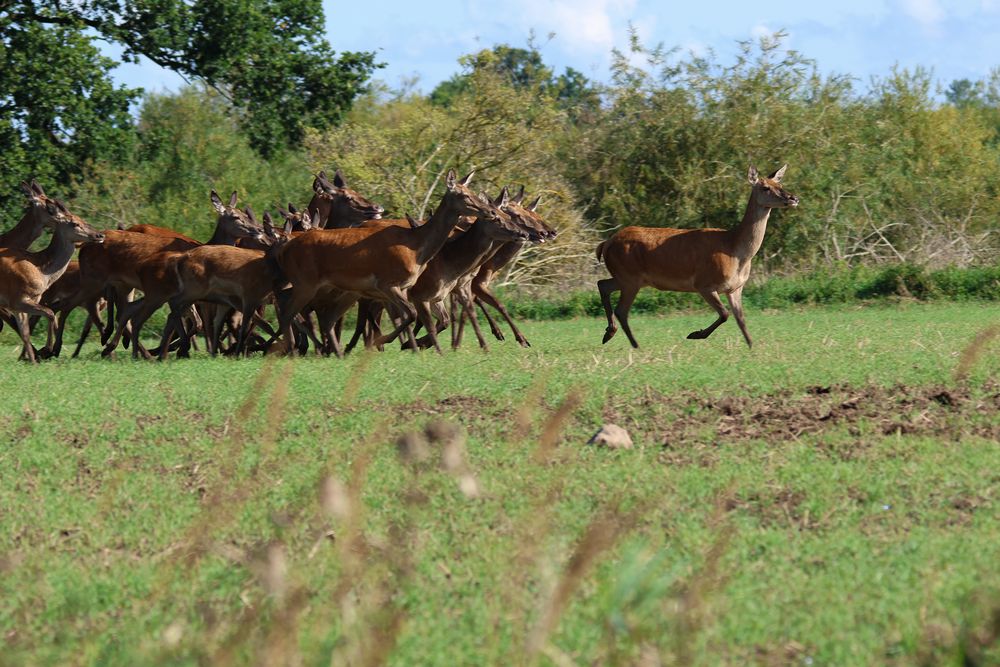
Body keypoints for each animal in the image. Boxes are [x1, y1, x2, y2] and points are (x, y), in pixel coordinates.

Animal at [592, 164, 796, 350]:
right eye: (765, 187)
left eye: (780, 183)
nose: (794, 198)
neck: (735, 250)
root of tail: (606, 243)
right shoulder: (703, 283)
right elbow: (725, 314)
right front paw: (696, 334)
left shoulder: (735, 288)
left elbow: (742, 320)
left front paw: (752, 347)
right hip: (630, 277)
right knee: (621, 309)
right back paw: (635, 344)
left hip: (628, 277)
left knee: (603, 285)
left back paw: (609, 333)